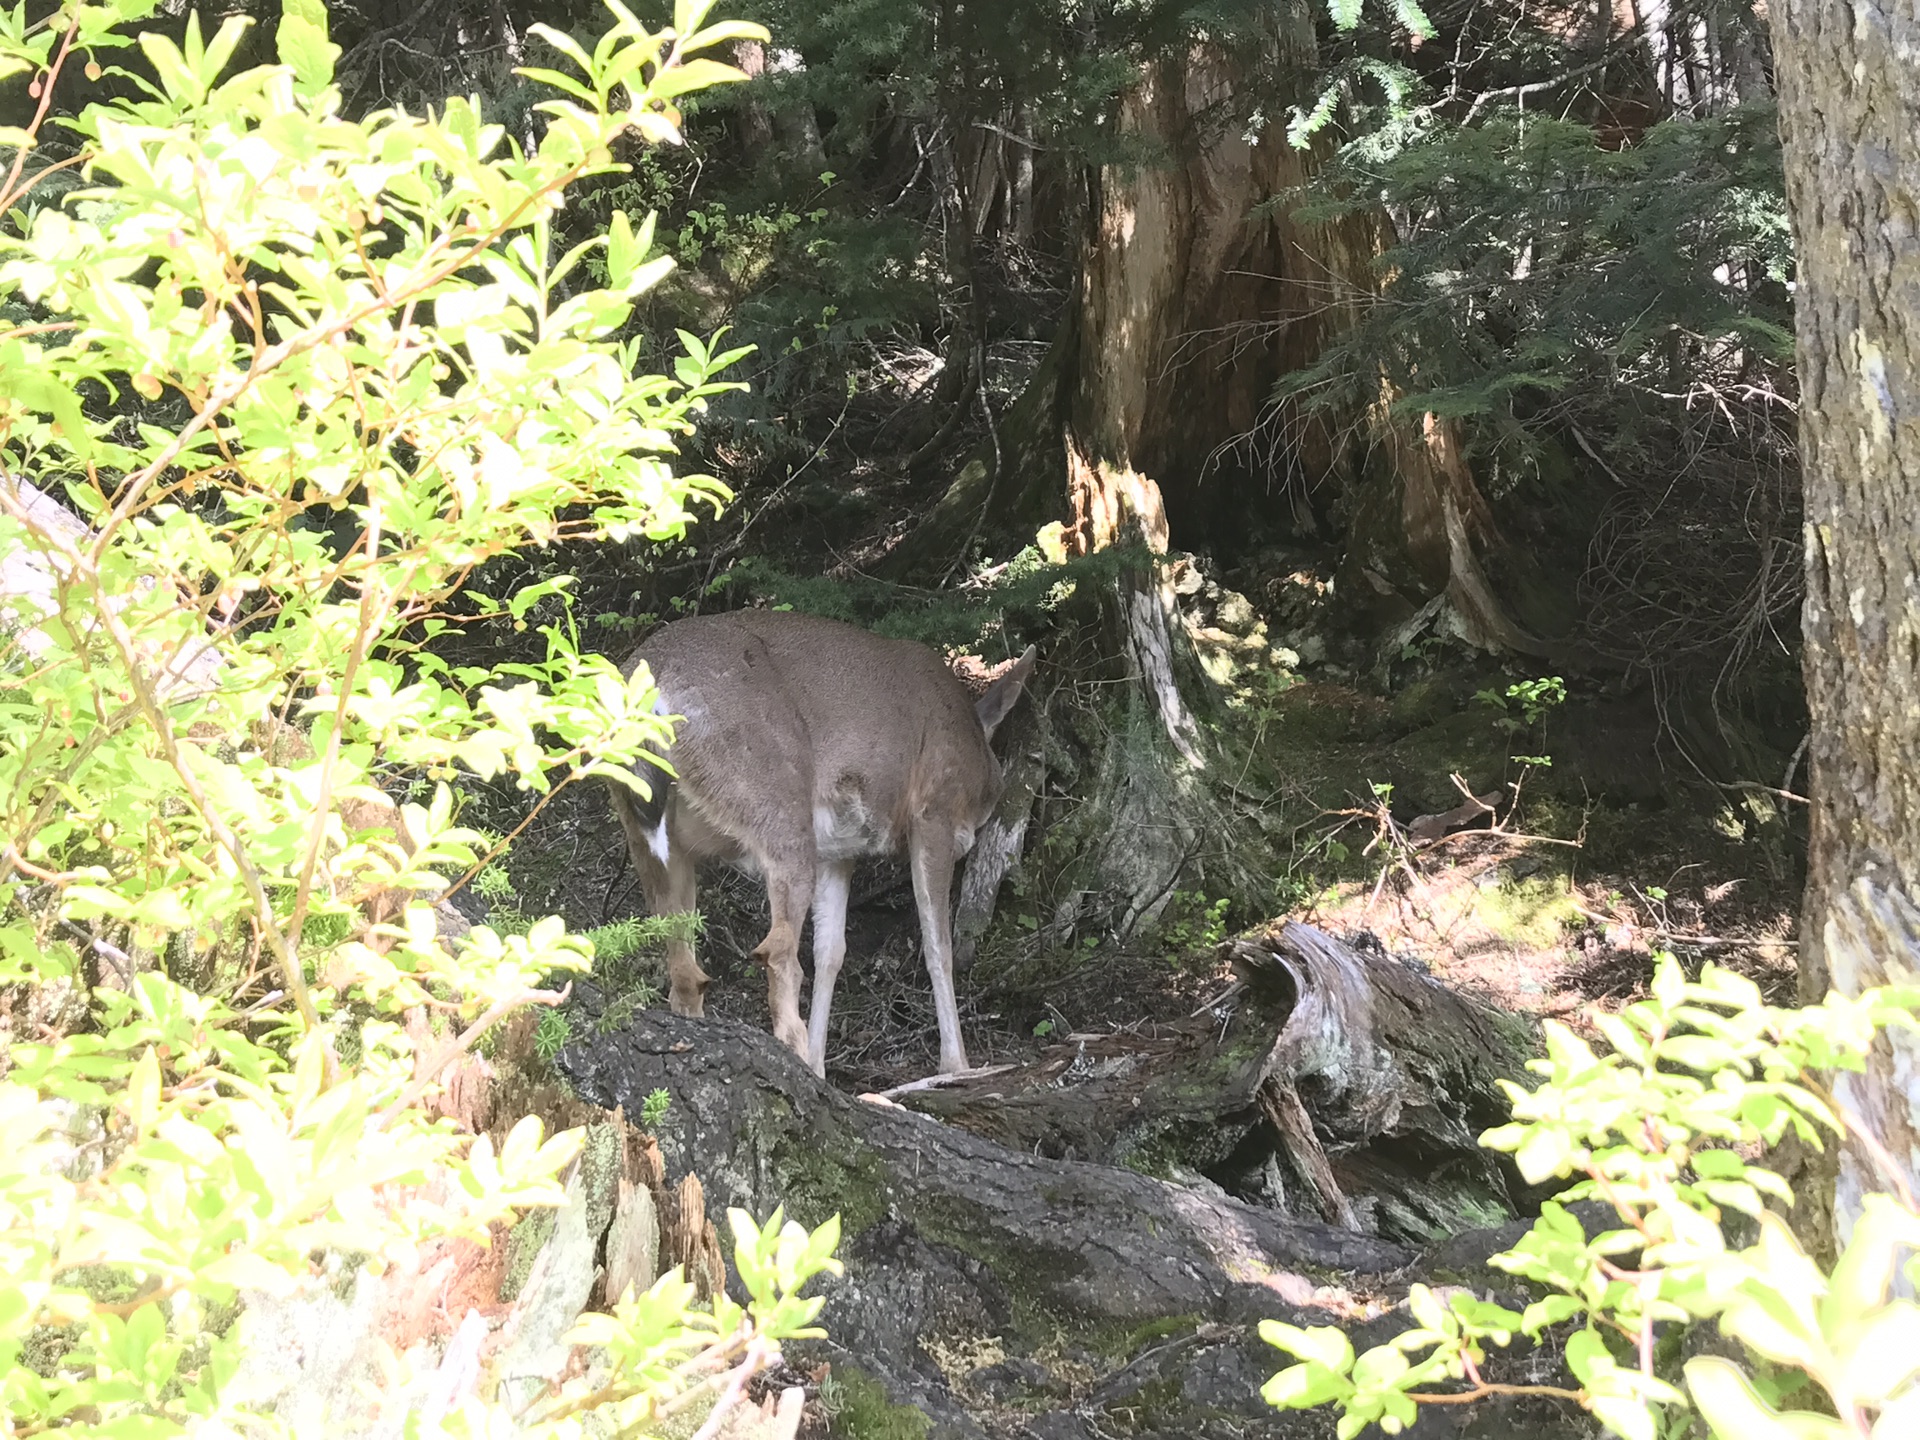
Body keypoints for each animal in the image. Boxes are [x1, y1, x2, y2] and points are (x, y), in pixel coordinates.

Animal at [610, 610, 1036, 1082]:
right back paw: (792, 1055)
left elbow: (830, 953)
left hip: (646, 830)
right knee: (775, 951)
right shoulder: (933, 814)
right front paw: (957, 1065)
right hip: (775, 798)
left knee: (682, 964)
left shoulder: (838, 851)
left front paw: (819, 1064)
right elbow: (937, 945)